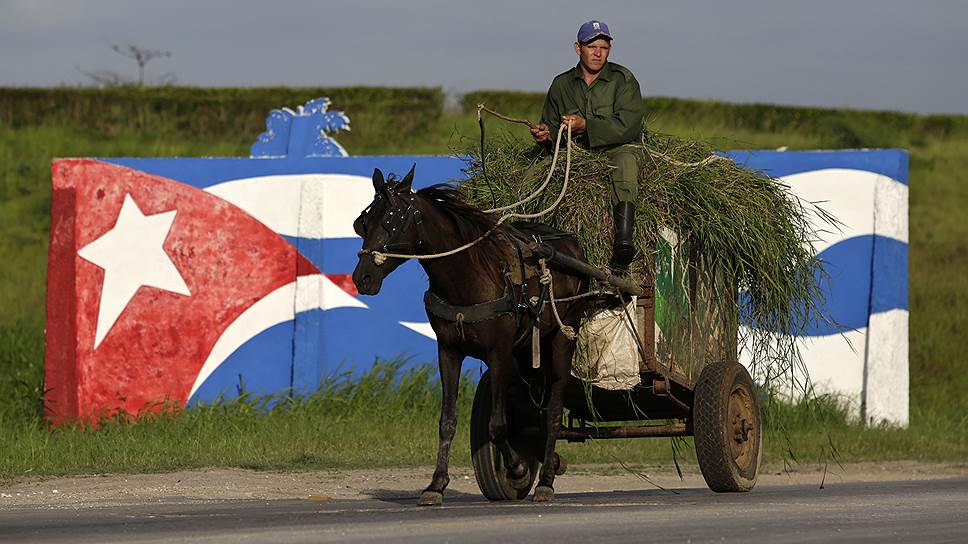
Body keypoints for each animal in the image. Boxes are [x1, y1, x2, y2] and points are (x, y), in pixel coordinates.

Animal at [352, 166, 588, 506]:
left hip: (562, 336)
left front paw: (517, 468)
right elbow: (447, 422)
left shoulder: (499, 354)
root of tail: (569, 244)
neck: (468, 277)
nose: (363, 278)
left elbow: (498, 425)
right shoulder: (448, 351)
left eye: (392, 223)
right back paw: (550, 460)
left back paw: (544, 481)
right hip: (526, 354)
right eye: (362, 223)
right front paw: (436, 484)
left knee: (554, 408)